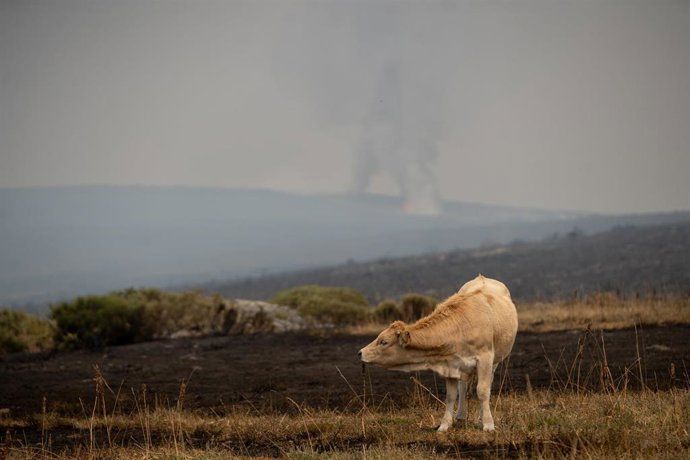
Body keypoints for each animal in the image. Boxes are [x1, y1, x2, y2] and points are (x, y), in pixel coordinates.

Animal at [359, 275, 518, 432]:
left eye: (383, 342)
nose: (360, 352)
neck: (462, 327)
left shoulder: (485, 359)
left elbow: (483, 391)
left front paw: (488, 424)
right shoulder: (451, 364)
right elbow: (451, 395)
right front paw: (444, 425)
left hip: (495, 361)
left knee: (487, 384)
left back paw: (480, 418)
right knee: (463, 385)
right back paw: (461, 416)